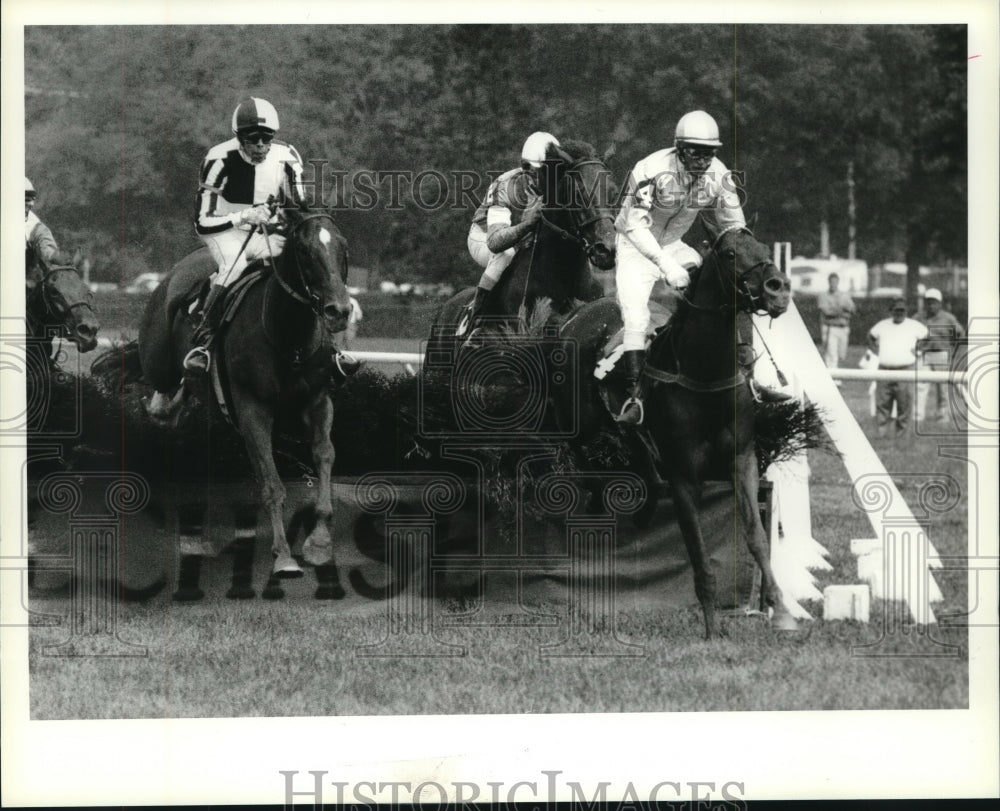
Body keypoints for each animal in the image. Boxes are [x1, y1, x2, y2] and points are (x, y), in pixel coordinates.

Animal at [138, 206, 352, 580]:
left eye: (342, 248)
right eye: (304, 251)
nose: (338, 311)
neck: (289, 337)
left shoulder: (318, 401)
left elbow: (325, 455)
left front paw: (320, 542)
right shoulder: (253, 407)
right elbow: (271, 483)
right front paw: (284, 556)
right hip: (157, 360)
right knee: (162, 400)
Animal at [560, 227, 792, 640]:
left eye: (765, 249)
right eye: (730, 254)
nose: (778, 289)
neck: (705, 376)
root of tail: (579, 313)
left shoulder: (743, 460)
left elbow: (757, 536)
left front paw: (778, 607)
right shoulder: (685, 475)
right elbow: (699, 555)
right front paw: (713, 629)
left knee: (637, 452)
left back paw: (646, 501)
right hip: (577, 419)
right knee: (578, 454)